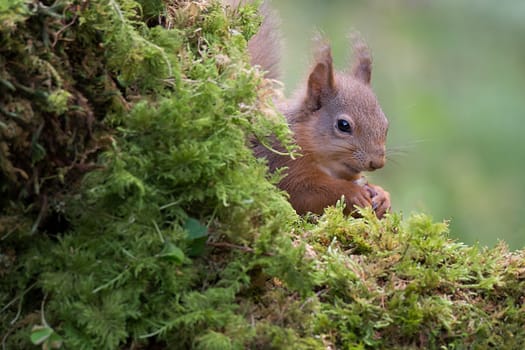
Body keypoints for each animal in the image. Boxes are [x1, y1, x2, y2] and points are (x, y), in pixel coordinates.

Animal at [225, 0, 388, 219]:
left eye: (386, 125)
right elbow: (301, 195)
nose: (377, 162)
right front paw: (352, 192)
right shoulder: (282, 161)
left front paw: (382, 195)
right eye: (344, 125)